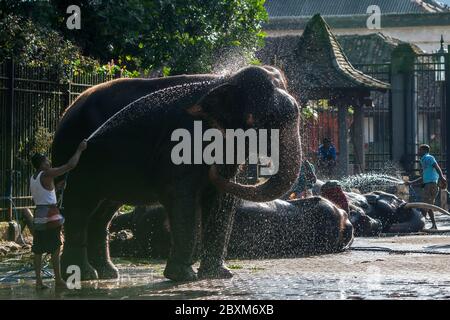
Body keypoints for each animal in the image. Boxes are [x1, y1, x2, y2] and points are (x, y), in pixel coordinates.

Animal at [51, 64, 302, 280]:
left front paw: (219, 275)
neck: (226, 80)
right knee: (80, 208)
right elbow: (181, 195)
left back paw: (107, 273)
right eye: (265, 121)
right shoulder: (182, 141)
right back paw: (84, 275)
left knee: (102, 211)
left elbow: (221, 201)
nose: (212, 169)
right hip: (72, 152)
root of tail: (68, 109)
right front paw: (184, 277)